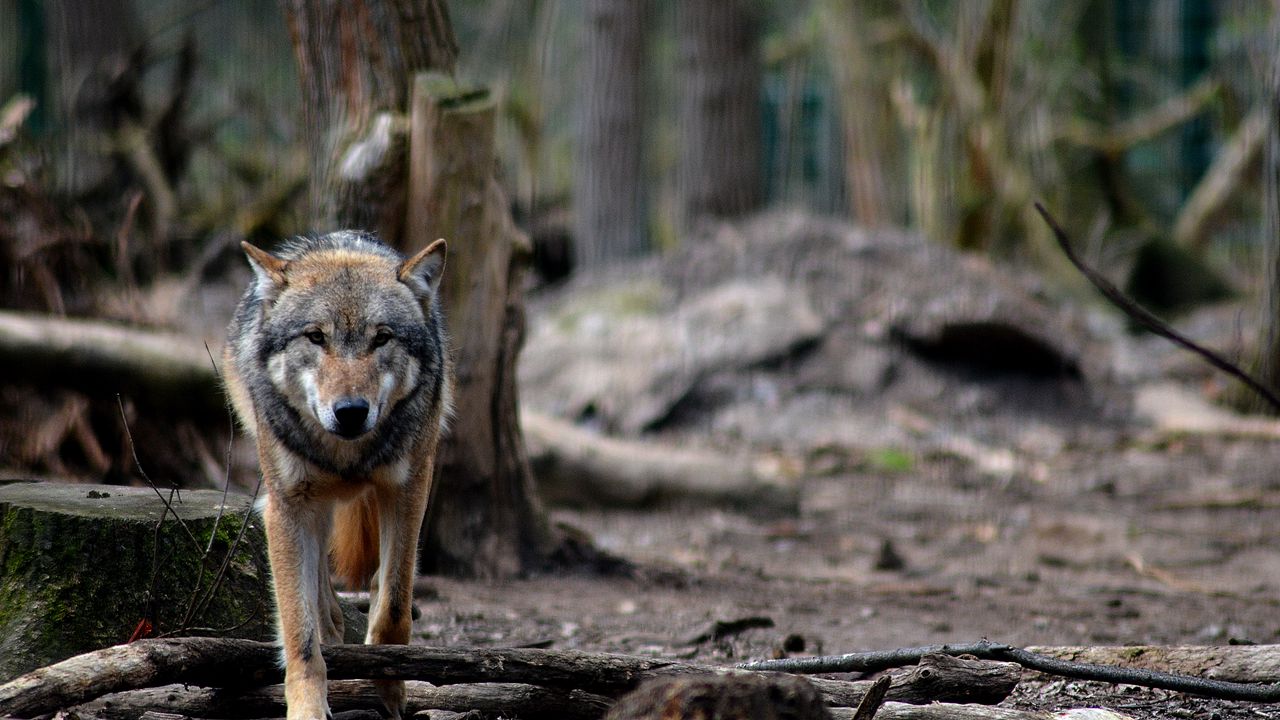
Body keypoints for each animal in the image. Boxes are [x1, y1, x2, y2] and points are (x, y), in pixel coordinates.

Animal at [223, 230, 452, 720]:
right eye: (315, 337)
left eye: (381, 338)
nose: (350, 411)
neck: (348, 457)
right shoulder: (285, 508)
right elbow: (299, 627)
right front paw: (308, 707)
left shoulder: (407, 489)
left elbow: (394, 606)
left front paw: (390, 689)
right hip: (312, 506)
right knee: (321, 601)